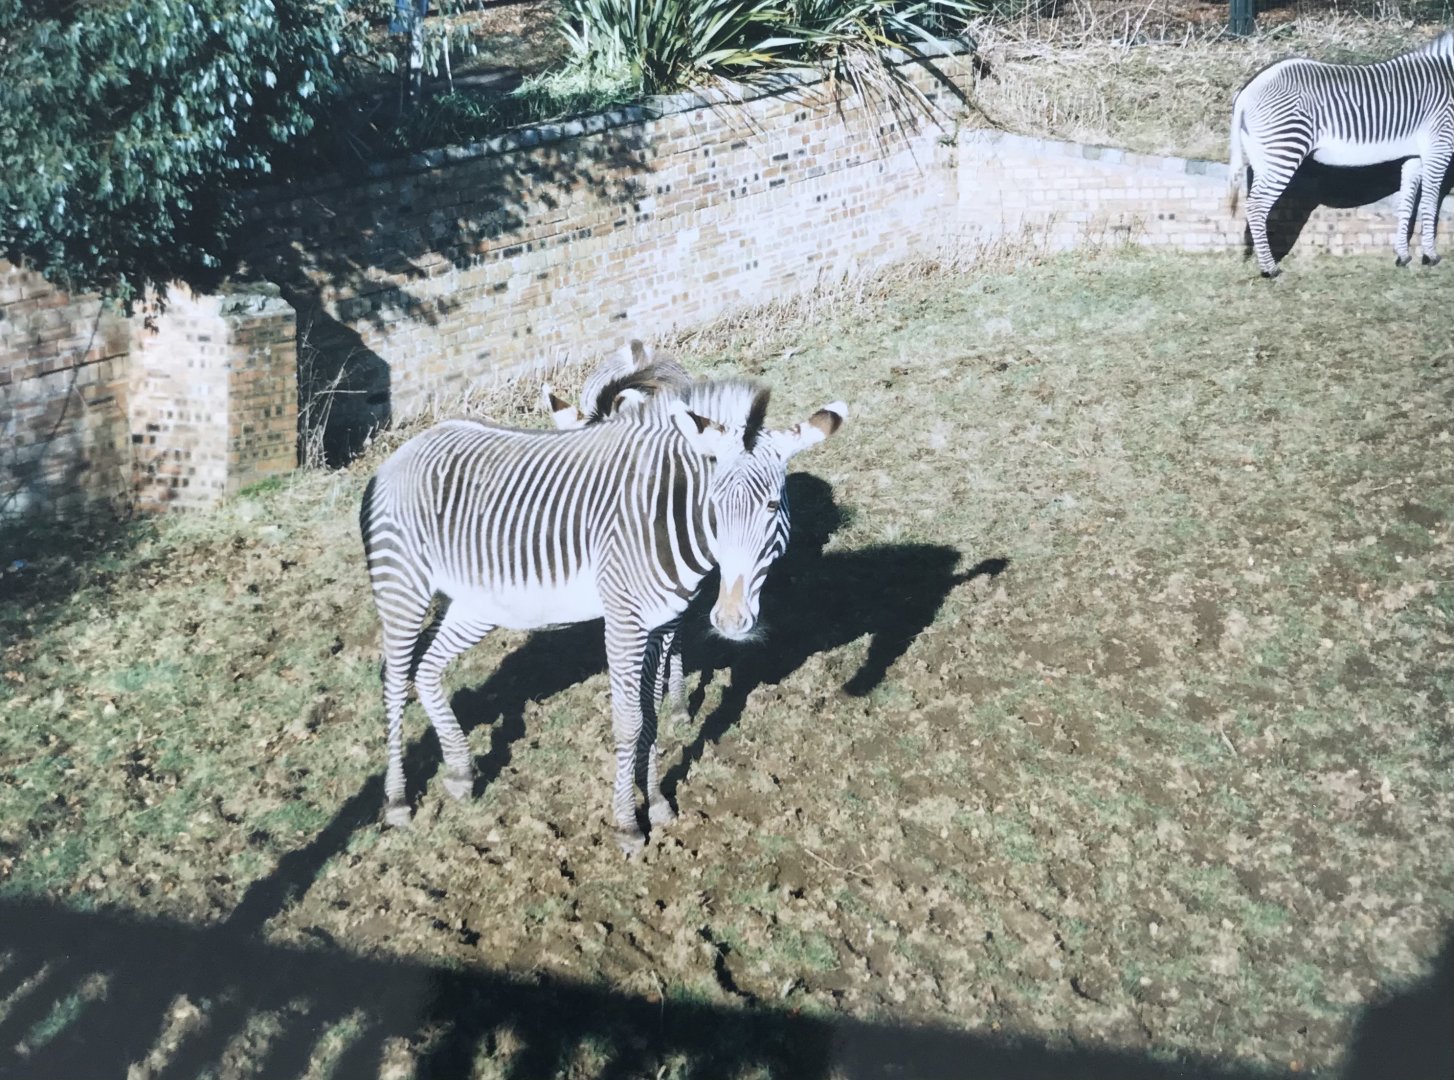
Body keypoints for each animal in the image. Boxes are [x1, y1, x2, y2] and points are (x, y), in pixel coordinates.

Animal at [360, 378, 847, 853]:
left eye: (771, 507)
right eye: (713, 503)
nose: (728, 620)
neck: (668, 515)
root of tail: (403, 452)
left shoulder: (662, 623)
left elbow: (651, 714)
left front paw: (658, 803)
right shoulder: (624, 622)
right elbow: (629, 723)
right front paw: (627, 825)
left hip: (477, 603)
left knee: (426, 670)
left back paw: (460, 771)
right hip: (402, 585)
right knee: (395, 682)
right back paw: (398, 801)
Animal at [1228, 31, 1454, 277]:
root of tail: (1247, 89)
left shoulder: (1415, 156)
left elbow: (1407, 201)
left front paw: (1403, 255)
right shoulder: (1439, 145)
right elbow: (1430, 201)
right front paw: (1430, 255)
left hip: (1263, 157)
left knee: (1253, 205)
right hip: (1285, 149)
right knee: (1257, 205)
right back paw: (1271, 269)